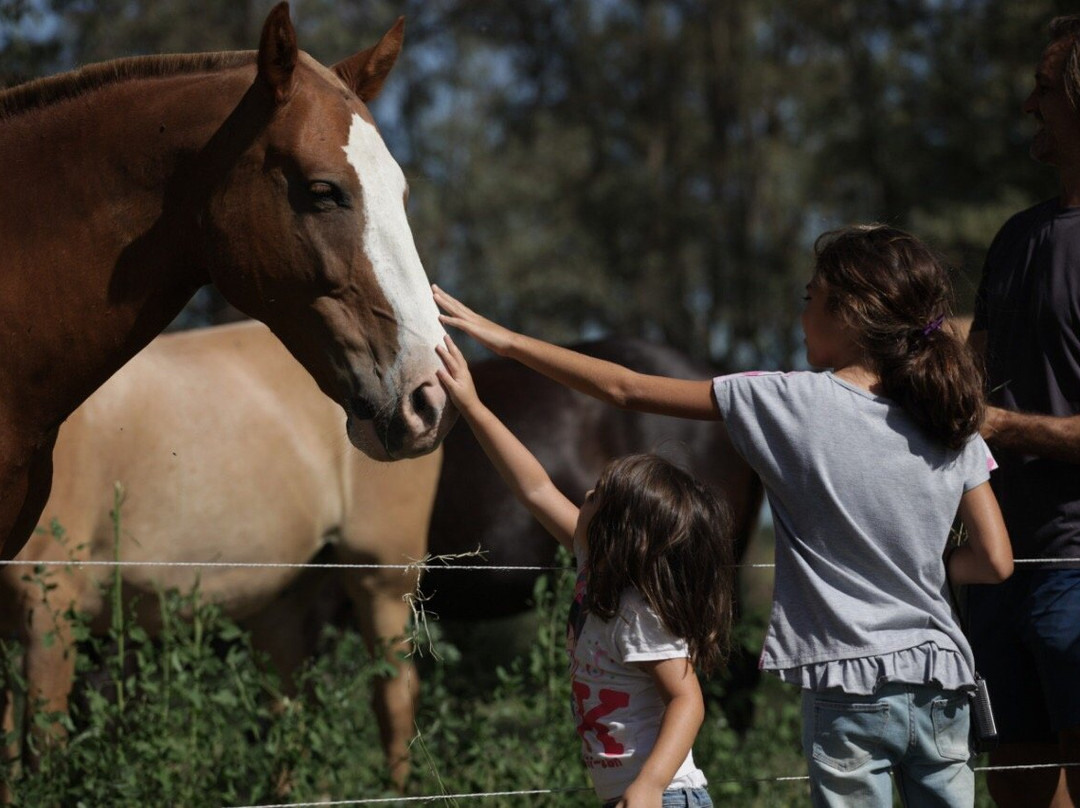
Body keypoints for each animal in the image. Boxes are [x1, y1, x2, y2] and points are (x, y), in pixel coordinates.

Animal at [0, 321, 440, 790]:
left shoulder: (49, 618)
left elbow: (42, 751)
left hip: (382, 582)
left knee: (392, 702)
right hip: (281, 605)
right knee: (290, 713)